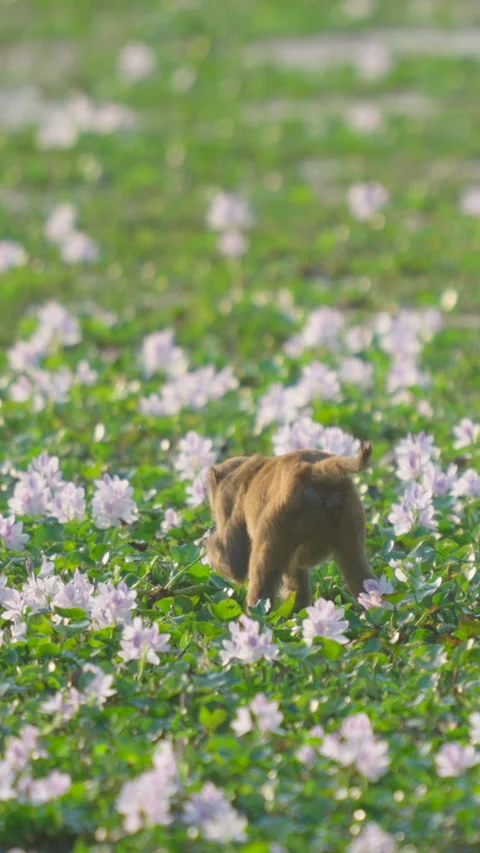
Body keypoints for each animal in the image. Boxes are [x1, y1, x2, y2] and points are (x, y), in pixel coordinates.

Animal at [205, 441, 375, 611]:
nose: (212, 527)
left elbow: (234, 564)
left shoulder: (227, 499)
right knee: (358, 571)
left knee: (261, 573)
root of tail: (315, 469)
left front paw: (207, 538)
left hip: (277, 522)